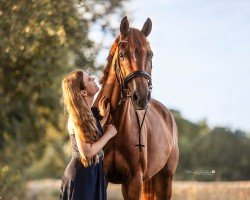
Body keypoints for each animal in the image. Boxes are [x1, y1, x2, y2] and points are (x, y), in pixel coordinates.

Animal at [94, 16, 179, 198]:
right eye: (122, 54)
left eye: (150, 54)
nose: (141, 97)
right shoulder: (103, 178)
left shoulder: (133, 180)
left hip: (165, 180)